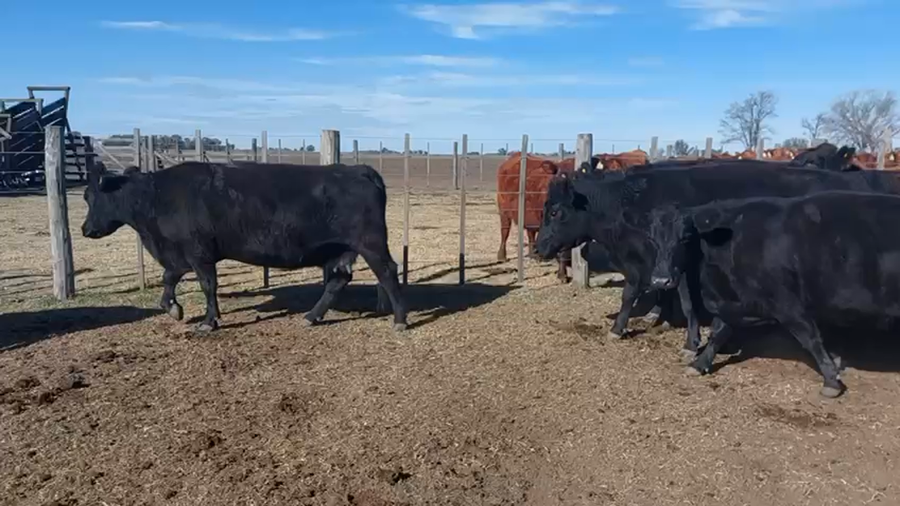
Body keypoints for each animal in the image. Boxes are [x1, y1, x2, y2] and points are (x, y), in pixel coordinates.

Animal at [81, 161, 408, 333]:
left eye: (91, 196)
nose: (86, 229)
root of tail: (357, 169)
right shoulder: (180, 254)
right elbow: (168, 278)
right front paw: (173, 308)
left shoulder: (199, 253)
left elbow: (207, 286)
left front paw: (209, 322)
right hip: (341, 249)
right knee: (338, 280)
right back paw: (311, 316)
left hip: (371, 242)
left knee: (388, 272)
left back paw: (400, 320)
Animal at [533, 162, 900, 359]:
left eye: (555, 211)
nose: (538, 248)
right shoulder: (651, 264)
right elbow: (643, 293)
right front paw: (645, 319)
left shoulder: (676, 264)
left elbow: (678, 301)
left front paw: (688, 342)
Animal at [646, 191, 900, 398]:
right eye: (653, 240)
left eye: (685, 238)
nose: (660, 279)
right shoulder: (739, 302)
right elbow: (720, 331)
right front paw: (699, 364)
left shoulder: (787, 304)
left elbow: (811, 338)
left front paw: (831, 381)